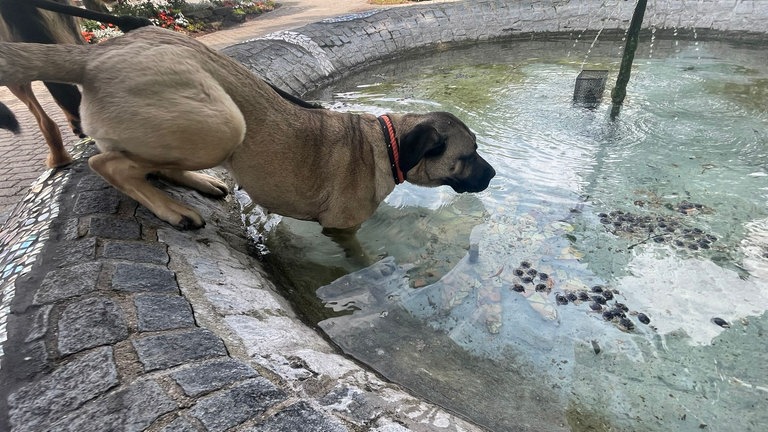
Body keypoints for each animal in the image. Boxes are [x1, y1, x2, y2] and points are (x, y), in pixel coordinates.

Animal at [0, 25, 498, 231]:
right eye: (467, 156)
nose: (494, 175)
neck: (386, 144)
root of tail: (95, 53)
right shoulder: (340, 229)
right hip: (222, 125)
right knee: (110, 164)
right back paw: (172, 209)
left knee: (146, 162)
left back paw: (197, 183)